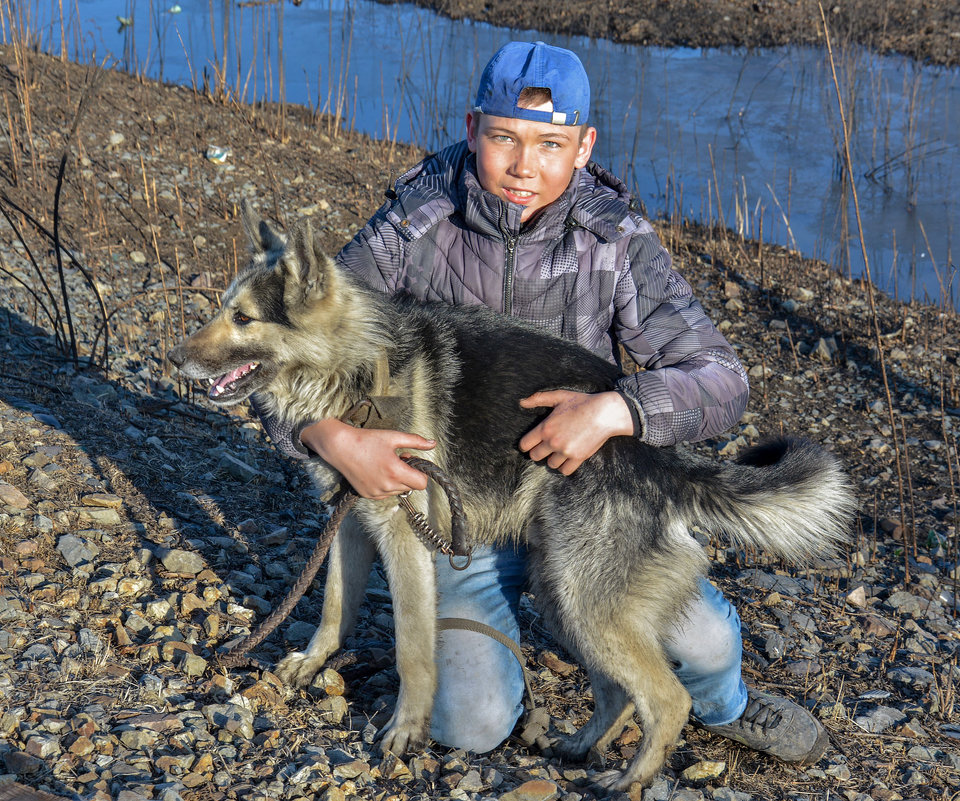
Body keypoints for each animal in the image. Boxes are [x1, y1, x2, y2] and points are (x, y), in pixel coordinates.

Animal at [167, 205, 856, 788]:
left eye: (243, 318)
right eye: (225, 309)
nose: (174, 359)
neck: (356, 365)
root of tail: (660, 455)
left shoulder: (403, 538)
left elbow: (413, 647)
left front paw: (405, 730)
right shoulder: (352, 522)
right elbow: (334, 604)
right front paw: (311, 664)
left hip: (584, 598)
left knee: (668, 697)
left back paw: (630, 779)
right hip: (564, 595)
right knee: (616, 691)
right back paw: (581, 746)